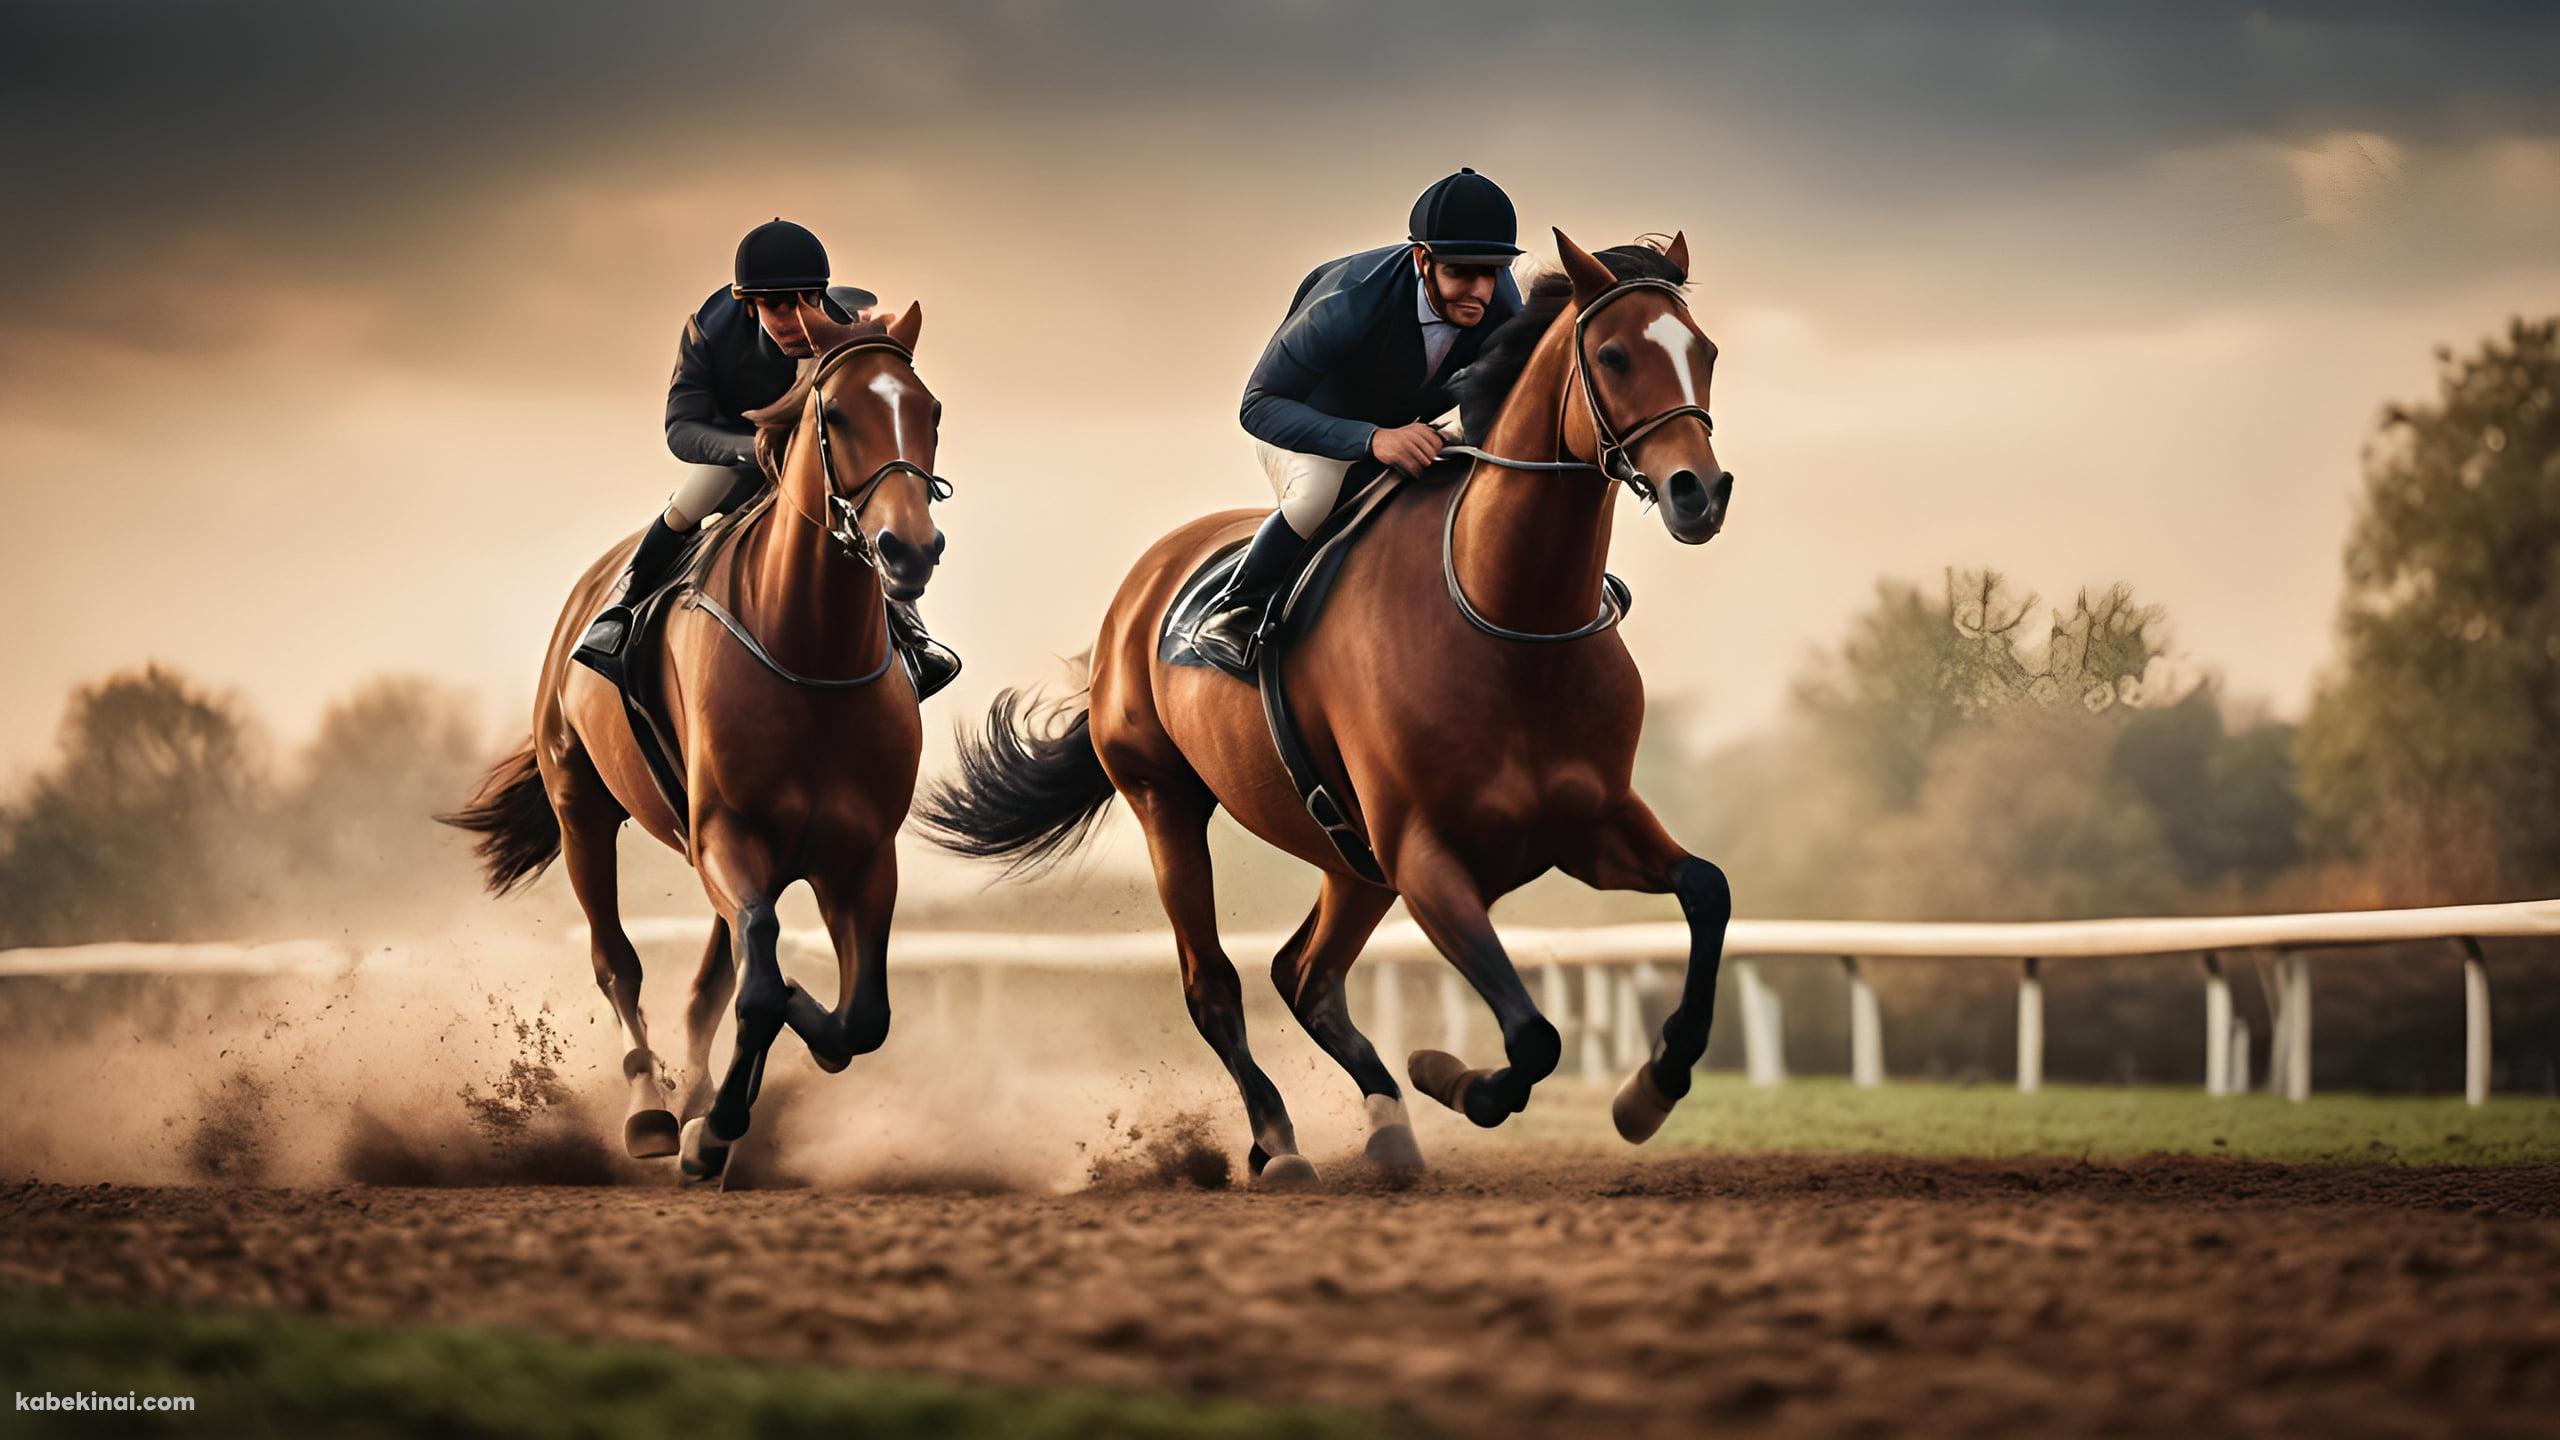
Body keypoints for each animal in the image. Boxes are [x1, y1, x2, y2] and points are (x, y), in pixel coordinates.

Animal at [440, 302, 952, 1178]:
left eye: (932, 413)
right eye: (836, 414)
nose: (909, 549)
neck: (810, 653)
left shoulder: (860, 854)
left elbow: (858, 1017)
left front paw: (733, 1099)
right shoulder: (727, 834)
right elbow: (760, 988)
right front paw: (710, 1131)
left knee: (718, 976)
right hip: (583, 809)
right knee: (618, 960)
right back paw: (652, 1110)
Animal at [921, 233, 1740, 1178]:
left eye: (1704, 351)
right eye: (1613, 355)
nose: (1699, 493)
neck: (1510, 618)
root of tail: (1141, 586)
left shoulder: (1591, 823)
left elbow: (1707, 891)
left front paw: (1651, 1087)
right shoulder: (1425, 857)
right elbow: (1532, 1038)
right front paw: (1449, 1075)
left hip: (1350, 856)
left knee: (1303, 975)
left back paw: (1387, 1128)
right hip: (1168, 799)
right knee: (1216, 984)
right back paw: (1280, 1143)